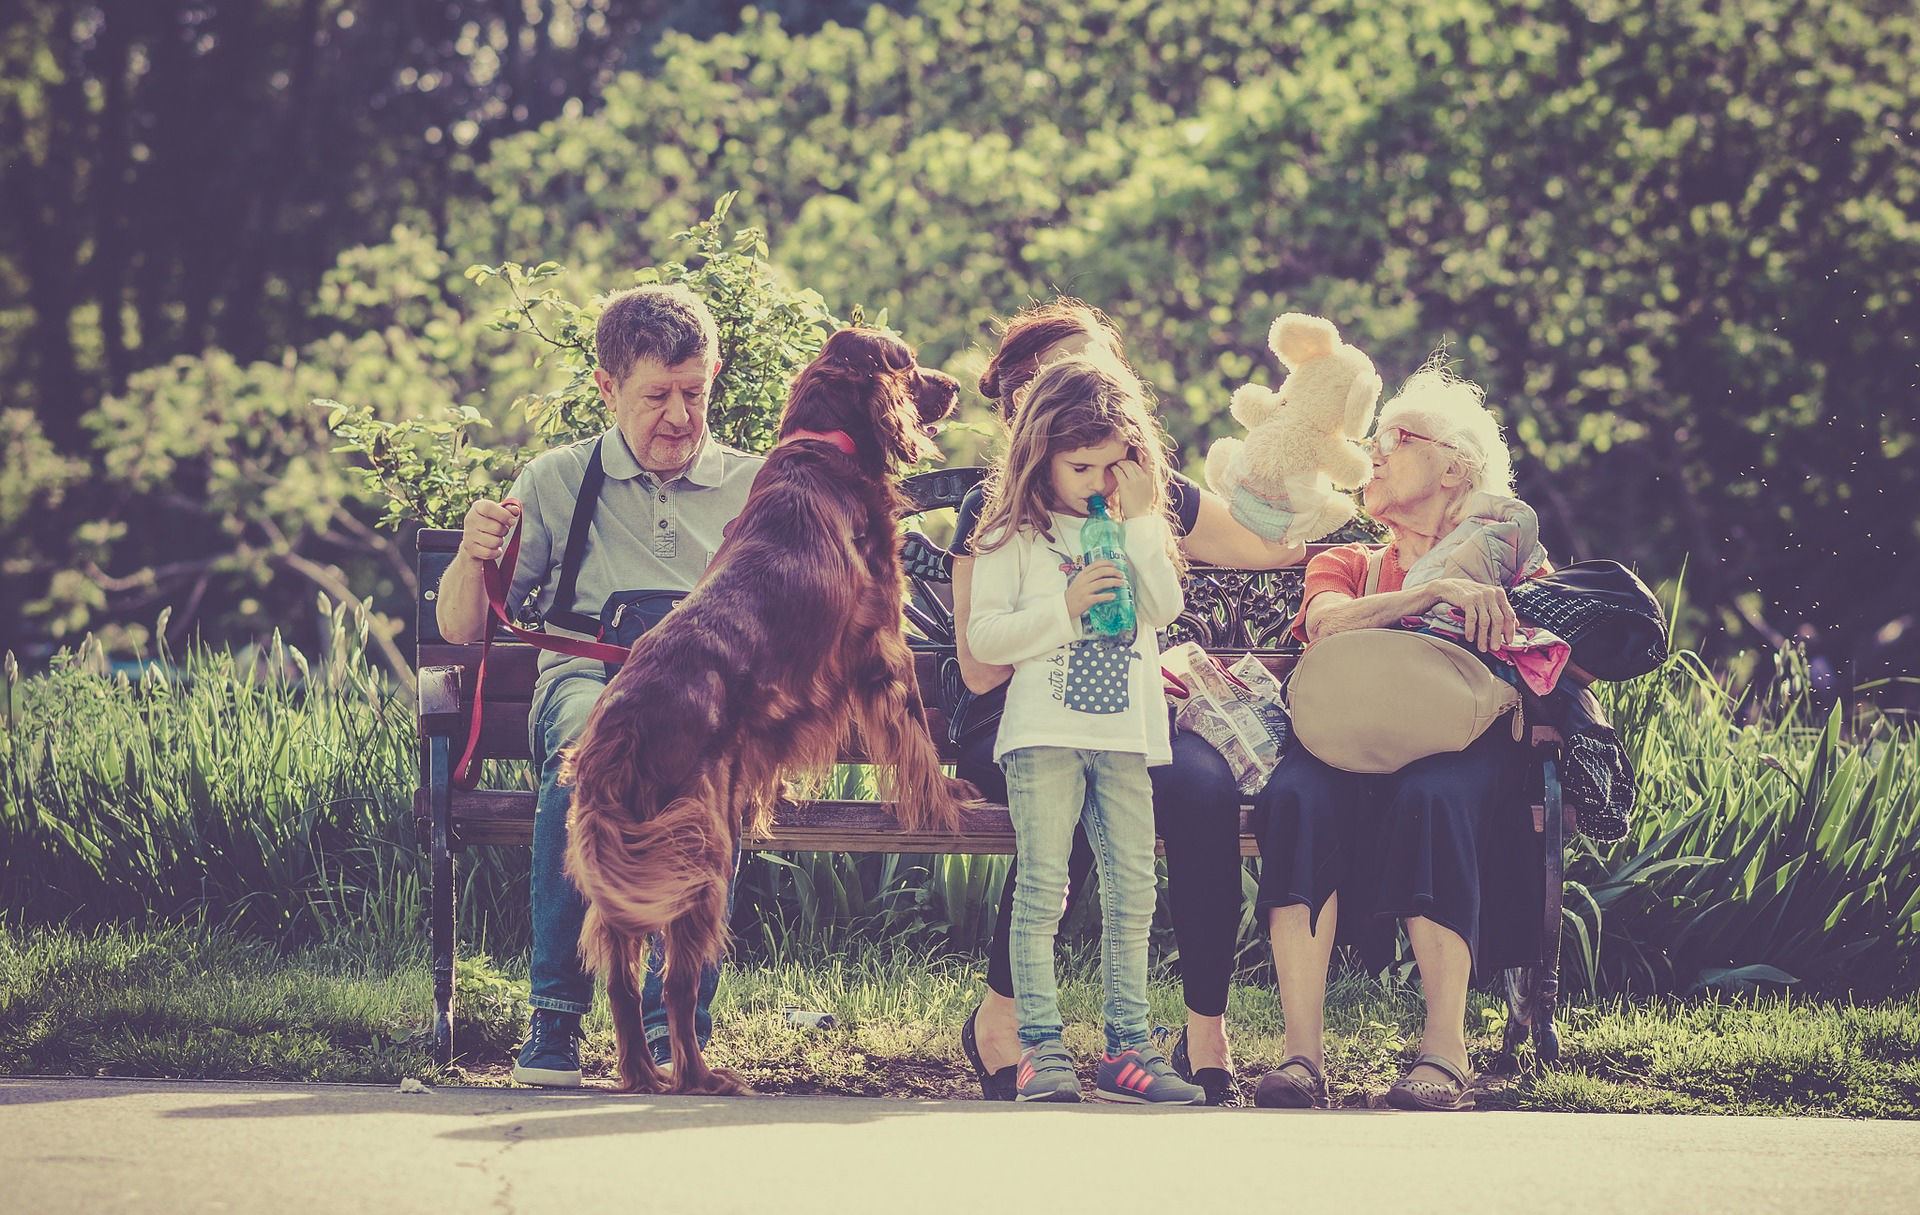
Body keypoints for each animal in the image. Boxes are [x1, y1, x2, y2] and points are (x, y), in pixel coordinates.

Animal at [556, 326, 975, 1097]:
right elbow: (916, 734)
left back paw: (642, 1073)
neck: (825, 446)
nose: (956, 384)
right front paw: (945, 801)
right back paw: (700, 1076)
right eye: (905, 361)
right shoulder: (881, 644)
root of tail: (618, 727)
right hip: (700, 849)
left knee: (624, 977)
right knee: (678, 980)